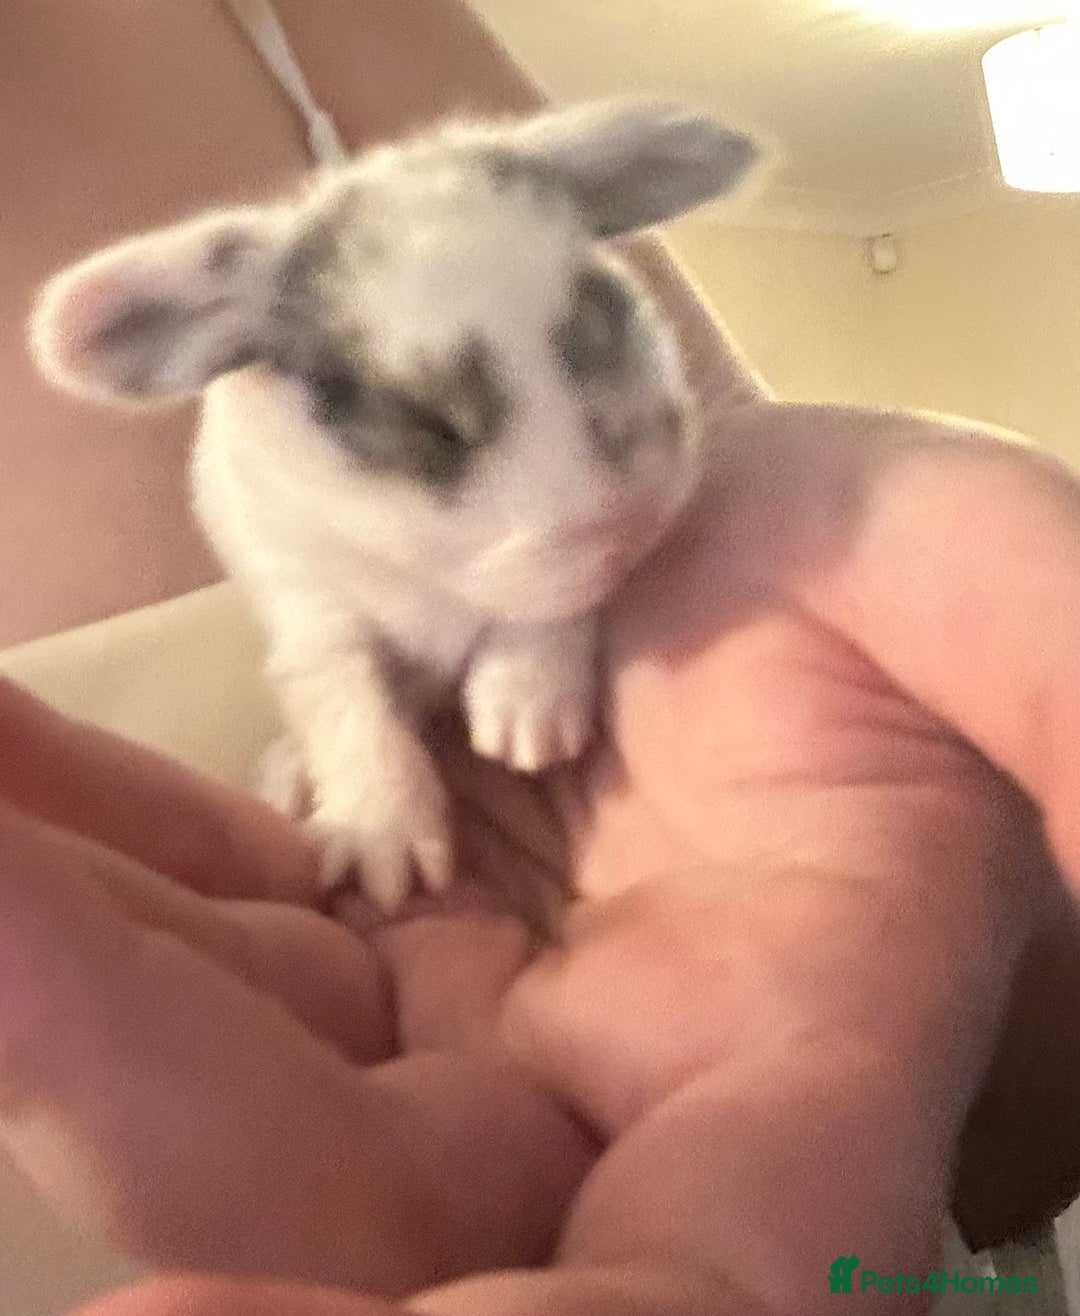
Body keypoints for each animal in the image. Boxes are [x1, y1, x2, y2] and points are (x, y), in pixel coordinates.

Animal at [29, 100, 759, 913]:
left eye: (609, 306)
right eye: (427, 421)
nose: (625, 526)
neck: (423, 573)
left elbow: (552, 610)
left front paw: (527, 720)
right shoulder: (306, 601)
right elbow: (346, 696)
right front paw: (386, 846)